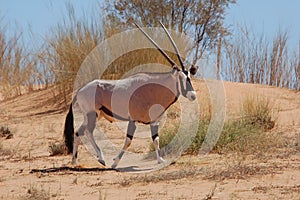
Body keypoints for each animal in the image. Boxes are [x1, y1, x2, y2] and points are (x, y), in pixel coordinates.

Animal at [63, 22, 197, 168]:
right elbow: (128, 141)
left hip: (92, 116)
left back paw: (74, 160)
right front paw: (115, 162)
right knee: (88, 132)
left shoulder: (154, 121)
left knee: (78, 132)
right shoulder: (133, 120)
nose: (193, 95)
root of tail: (80, 91)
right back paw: (101, 158)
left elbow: (156, 139)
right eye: (181, 78)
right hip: (92, 114)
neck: (154, 88)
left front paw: (160, 160)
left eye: (190, 77)